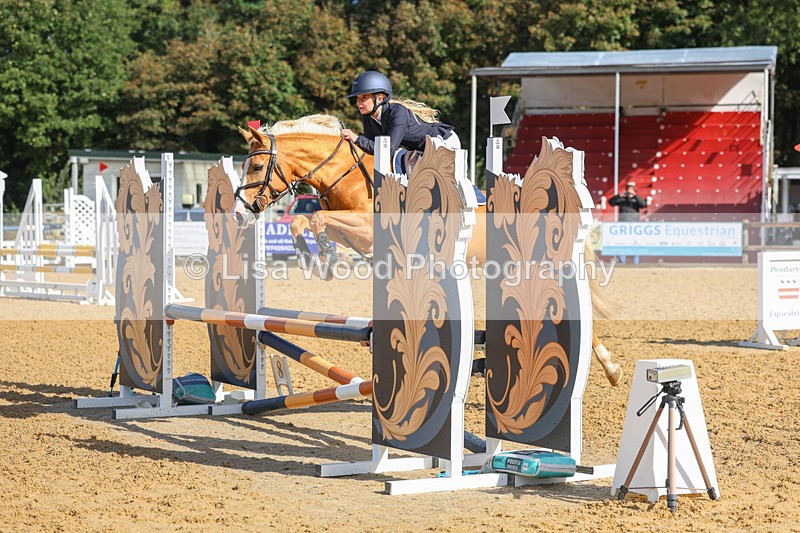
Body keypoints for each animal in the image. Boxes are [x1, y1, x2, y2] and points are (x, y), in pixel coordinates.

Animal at [233, 114, 621, 386]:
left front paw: (326, 257)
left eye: (256, 166)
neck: (349, 175)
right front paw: (322, 257)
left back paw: (611, 368)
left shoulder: (367, 229)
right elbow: (308, 220)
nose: (238, 214)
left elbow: (316, 219)